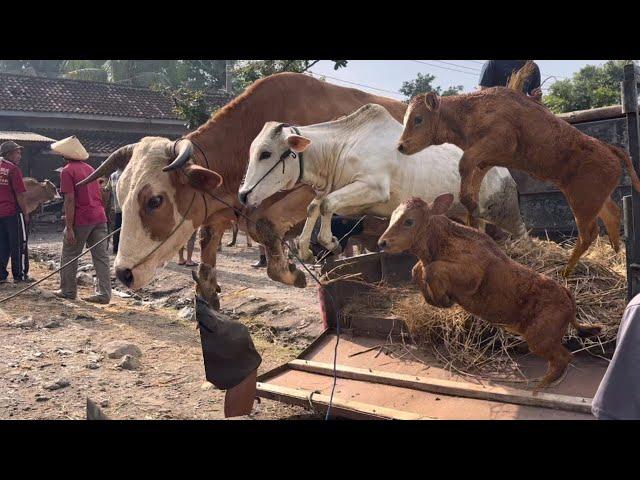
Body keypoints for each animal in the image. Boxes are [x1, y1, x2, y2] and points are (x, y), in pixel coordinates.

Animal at [77, 73, 402, 310]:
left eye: (155, 200)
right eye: (120, 194)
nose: (123, 274)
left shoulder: (315, 189)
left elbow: (264, 225)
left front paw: (292, 271)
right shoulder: (222, 209)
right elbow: (209, 249)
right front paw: (209, 289)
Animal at [238, 103, 528, 262]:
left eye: (266, 153)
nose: (243, 194)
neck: (341, 147)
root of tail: (503, 170)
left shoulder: (373, 189)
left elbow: (327, 205)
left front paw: (329, 242)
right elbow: (315, 206)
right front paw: (306, 249)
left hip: (507, 214)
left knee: (523, 233)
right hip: (473, 214)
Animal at [378, 193, 604, 392]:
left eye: (409, 221)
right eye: (391, 218)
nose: (382, 242)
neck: (441, 243)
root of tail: (567, 295)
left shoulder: (471, 276)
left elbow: (433, 269)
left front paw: (443, 299)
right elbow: (417, 270)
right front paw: (435, 299)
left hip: (540, 338)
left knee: (564, 358)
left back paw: (538, 387)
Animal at [398, 86, 640, 276]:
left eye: (418, 119)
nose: (400, 146)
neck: (471, 110)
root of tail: (609, 149)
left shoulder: (496, 143)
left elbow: (464, 162)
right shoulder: (485, 160)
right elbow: (471, 181)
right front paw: (471, 210)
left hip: (581, 203)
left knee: (588, 233)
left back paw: (565, 271)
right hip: (595, 200)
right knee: (612, 215)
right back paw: (616, 255)